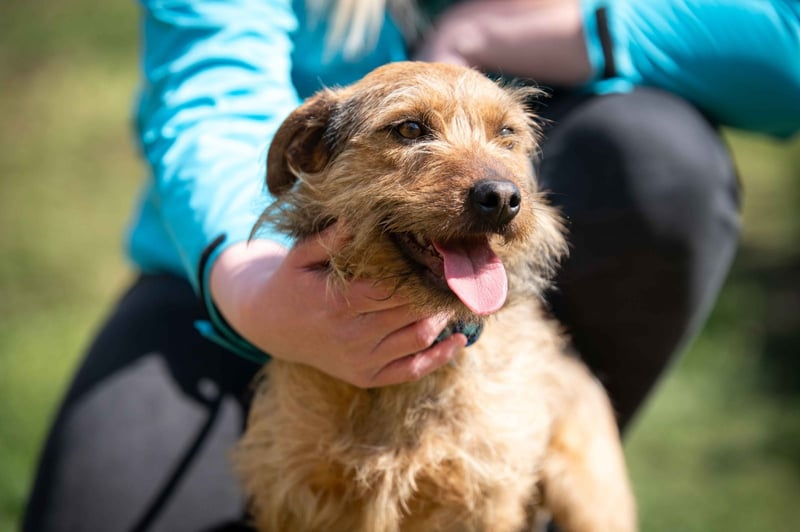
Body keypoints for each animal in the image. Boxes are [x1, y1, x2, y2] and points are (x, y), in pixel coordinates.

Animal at [235, 61, 636, 532]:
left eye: (506, 133)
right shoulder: (294, 491)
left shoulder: (482, 499)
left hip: (592, 500)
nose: (503, 197)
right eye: (409, 129)